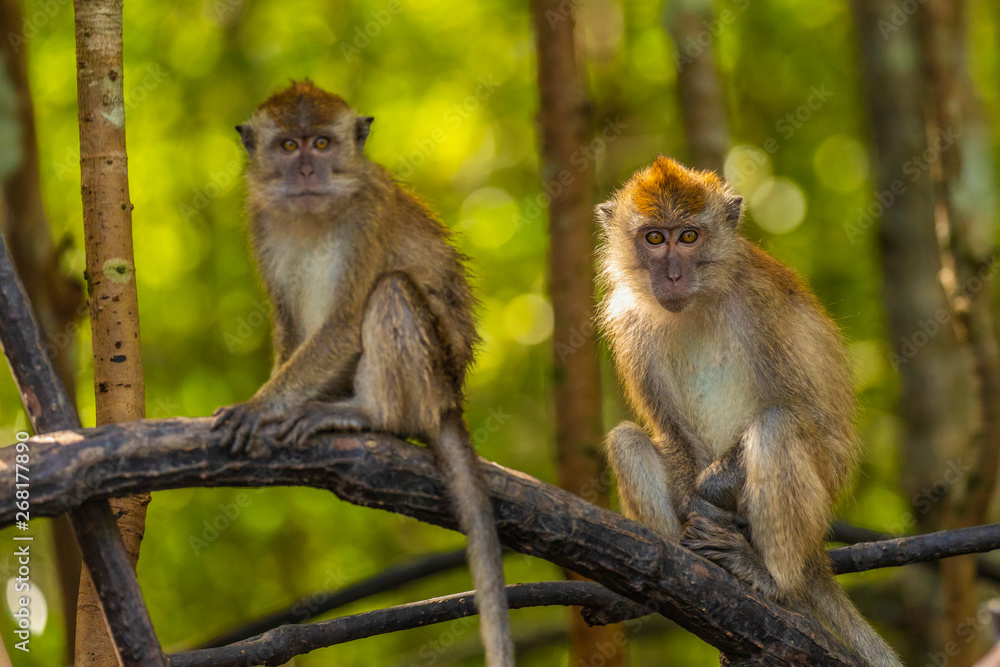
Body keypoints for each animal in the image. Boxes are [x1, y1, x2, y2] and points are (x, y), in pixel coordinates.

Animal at [206, 81, 512, 664]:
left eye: (322, 143)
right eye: (288, 146)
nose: (306, 170)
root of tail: (451, 399)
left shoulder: (367, 216)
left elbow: (346, 322)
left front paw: (260, 406)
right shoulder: (260, 219)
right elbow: (288, 324)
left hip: (430, 374)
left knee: (390, 289)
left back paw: (371, 414)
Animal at [592, 158, 900, 667]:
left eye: (689, 237)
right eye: (655, 238)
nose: (672, 275)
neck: (697, 303)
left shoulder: (763, 302)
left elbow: (811, 412)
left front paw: (707, 493)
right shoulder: (629, 321)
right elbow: (669, 434)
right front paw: (689, 502)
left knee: (777, 427)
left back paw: (773, 581)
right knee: (627, 440)